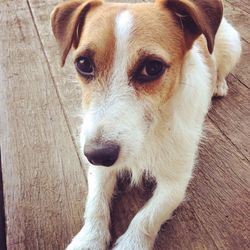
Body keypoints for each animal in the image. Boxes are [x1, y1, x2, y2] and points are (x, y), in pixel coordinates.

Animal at [50, 0, 240, 249]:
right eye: (83, 63)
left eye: (152, 67)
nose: (98, 155)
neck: (151, 130)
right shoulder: (98, 168)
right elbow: (95, 203)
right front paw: (89, 239)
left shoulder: (175, 182)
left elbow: (148, 217)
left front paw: (131, 243)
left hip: (232, 45)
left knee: (222, 69)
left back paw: (219, 85)